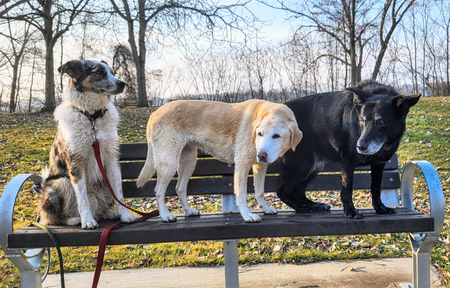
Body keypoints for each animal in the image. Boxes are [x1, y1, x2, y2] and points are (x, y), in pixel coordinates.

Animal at [37, 59, 137, 228]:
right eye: (98, 72)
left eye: (111, 72)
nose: (122, 84)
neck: (92, 118)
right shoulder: (76, 163)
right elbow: (82, 197)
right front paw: (88, 221)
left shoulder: (111, 160)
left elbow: (119, 193)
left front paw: (125, 215)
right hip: (61, 182)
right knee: (53, 218)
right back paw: (73, 219)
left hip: (103, 183)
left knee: (99, 209)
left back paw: (110, 214)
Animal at [278, 80, 422, 217]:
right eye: (362, 120)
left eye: (381, 122)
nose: (360, 147)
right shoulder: (348, 163)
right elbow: (347, 189)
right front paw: (350, 211)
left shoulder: (379, 165)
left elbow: (376, 188)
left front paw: (380, 208)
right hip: (301, 166)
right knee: (282, 191)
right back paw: (301, 208)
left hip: (313, 167)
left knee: (298, 191)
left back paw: (314, 205)